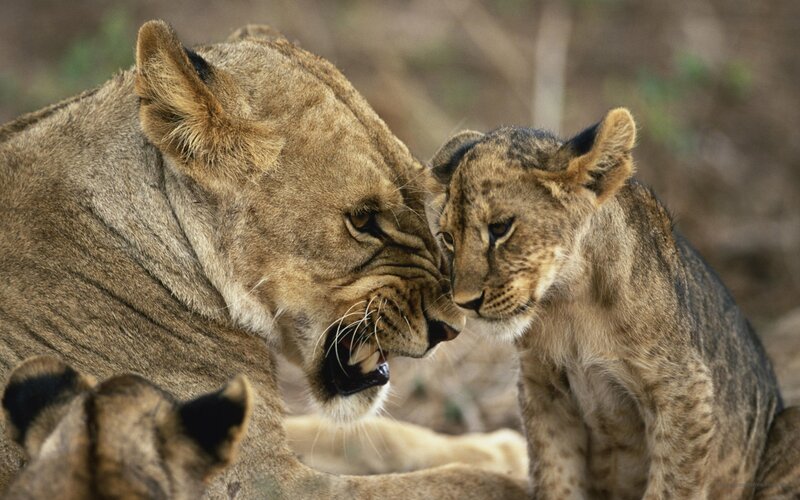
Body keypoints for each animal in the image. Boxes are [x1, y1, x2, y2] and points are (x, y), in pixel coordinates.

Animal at [430, 108, 800, 498]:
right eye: (448, 238)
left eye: (500, 228)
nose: (465, 302)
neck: (569, 302)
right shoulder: (544, 390)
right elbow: (557, 479)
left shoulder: (685, 391)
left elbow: (670, 486)